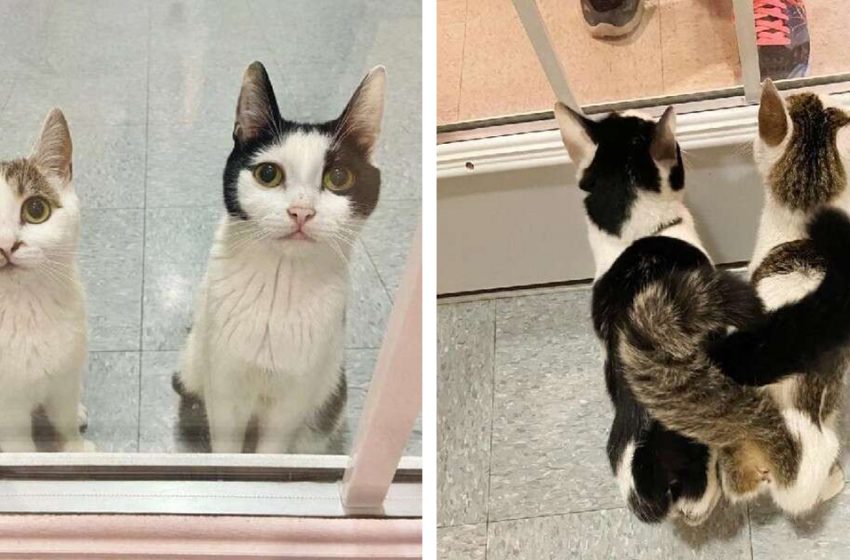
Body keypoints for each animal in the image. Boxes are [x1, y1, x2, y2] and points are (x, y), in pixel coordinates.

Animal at [172, 62, 384, 456]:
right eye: (268, 174)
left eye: (338, 177)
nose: (301, 211)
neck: (277, 284)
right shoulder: (224, 386)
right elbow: (227, 448)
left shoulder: (293, 400)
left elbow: (271, 449)